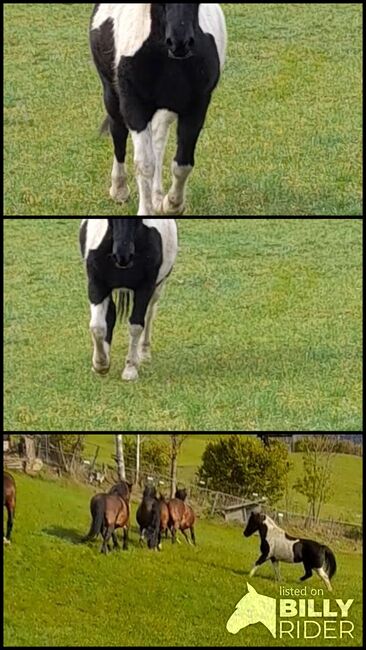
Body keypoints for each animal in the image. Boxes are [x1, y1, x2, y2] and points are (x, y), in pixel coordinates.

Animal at [79, 218, 178, 380]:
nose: (122, 256)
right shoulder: (97, 284)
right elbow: (97, 326)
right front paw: (100, 364)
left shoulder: (145, 287)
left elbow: (136, 325)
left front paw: (130, 368)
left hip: (158, 286)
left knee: (149, 314)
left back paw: (144, 352)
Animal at [89, 3, 226, 215]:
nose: (180, 43)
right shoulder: (134, 107)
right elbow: (144, 164)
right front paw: (146, 212)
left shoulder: (196, 107)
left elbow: (182, 163)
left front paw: (171, 204)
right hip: (112, 94)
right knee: (118, 132)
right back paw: (119, 190)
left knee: (158, 140)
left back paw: (157, 196)